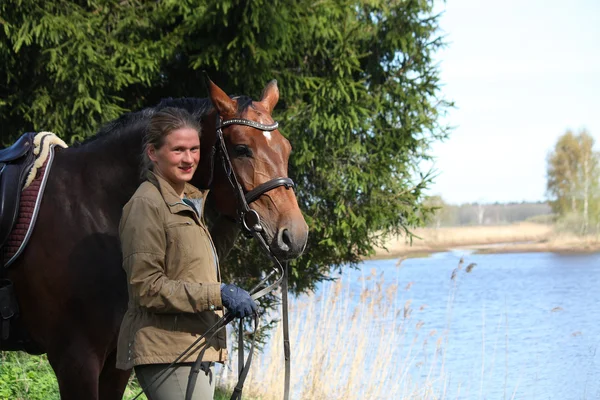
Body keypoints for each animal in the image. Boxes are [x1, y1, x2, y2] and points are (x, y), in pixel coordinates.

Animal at [1, 79, 310, 398]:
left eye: (287, 149)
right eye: (241, 149)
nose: (295, 235)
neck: (91, 205)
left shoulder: (116, 360)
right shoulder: (75, 358)